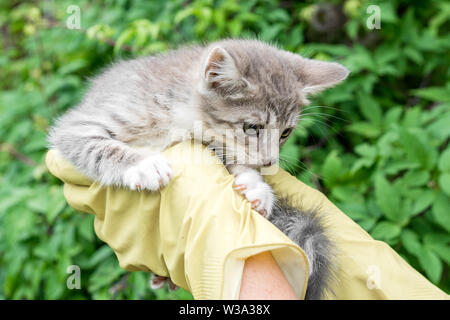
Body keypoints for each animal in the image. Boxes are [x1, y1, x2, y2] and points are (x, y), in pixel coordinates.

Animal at [48, 39, 348, 298]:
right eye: (252, 127)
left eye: (286, 132)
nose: (269, 162)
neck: (182, 113)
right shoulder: (80, 123)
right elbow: (93, 144)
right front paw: (144, 165)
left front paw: (256, 186)